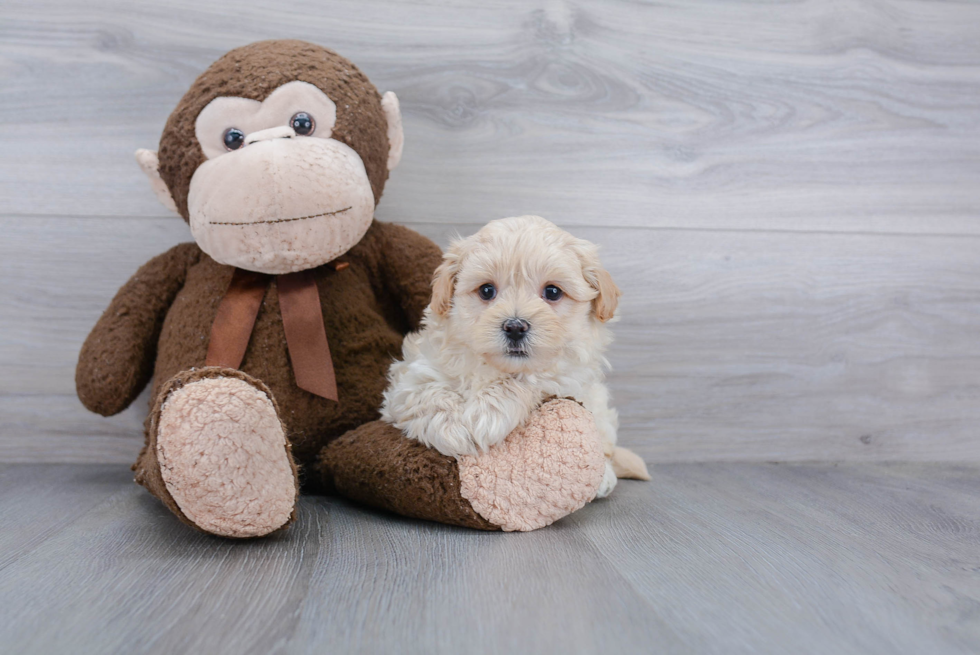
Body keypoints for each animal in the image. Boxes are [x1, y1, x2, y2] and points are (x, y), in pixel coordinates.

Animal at [378, 215, 624, 498]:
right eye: (486, 291)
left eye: (552, 292)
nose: (515, 327)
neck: (493, 367)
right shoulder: (408, 377)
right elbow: (424, 392)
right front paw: (454, 428)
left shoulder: (569, 374)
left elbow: (533, 376)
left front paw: (487, 415)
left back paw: (604, 476)